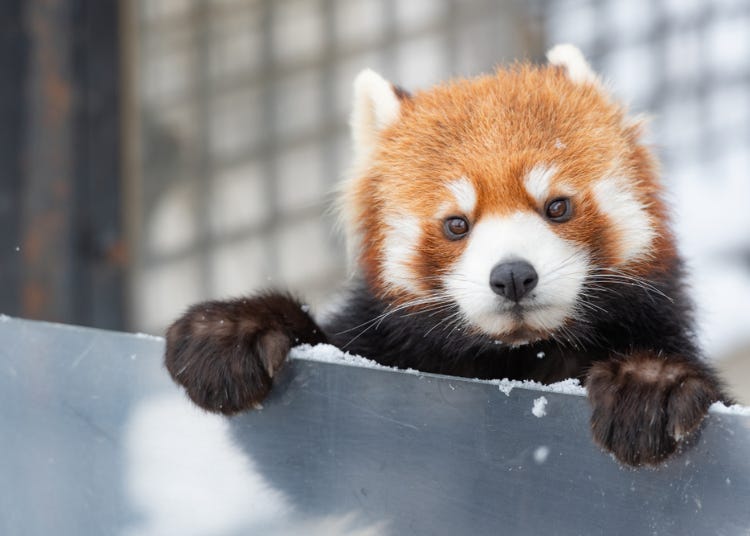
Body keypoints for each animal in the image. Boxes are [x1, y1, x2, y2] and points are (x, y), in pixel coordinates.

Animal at [166, 45, 728, 464]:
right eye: (456, 224)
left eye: (558, 206)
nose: (513, 276)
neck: (518, 356)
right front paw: (233, 330)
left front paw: (649, 385)